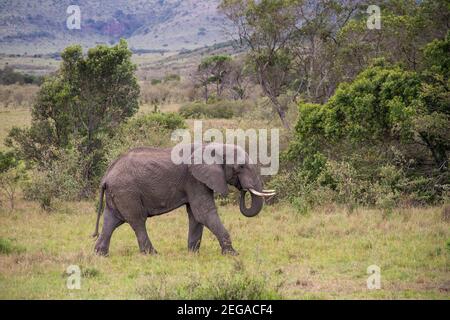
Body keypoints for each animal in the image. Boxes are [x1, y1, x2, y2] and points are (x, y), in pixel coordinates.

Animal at [91, 144, 274, 256]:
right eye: (240, 167)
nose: (243, 189)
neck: (213, 146)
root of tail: (106, 176)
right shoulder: (195, 179)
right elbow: (203, 213)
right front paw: (233, 254)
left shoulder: (196, 182)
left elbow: (195, 216)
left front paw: (193, 254)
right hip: (127, 192)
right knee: (137, 221)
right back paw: (153, 254)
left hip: (118, 194)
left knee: (111, 221)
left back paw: (100, 255)